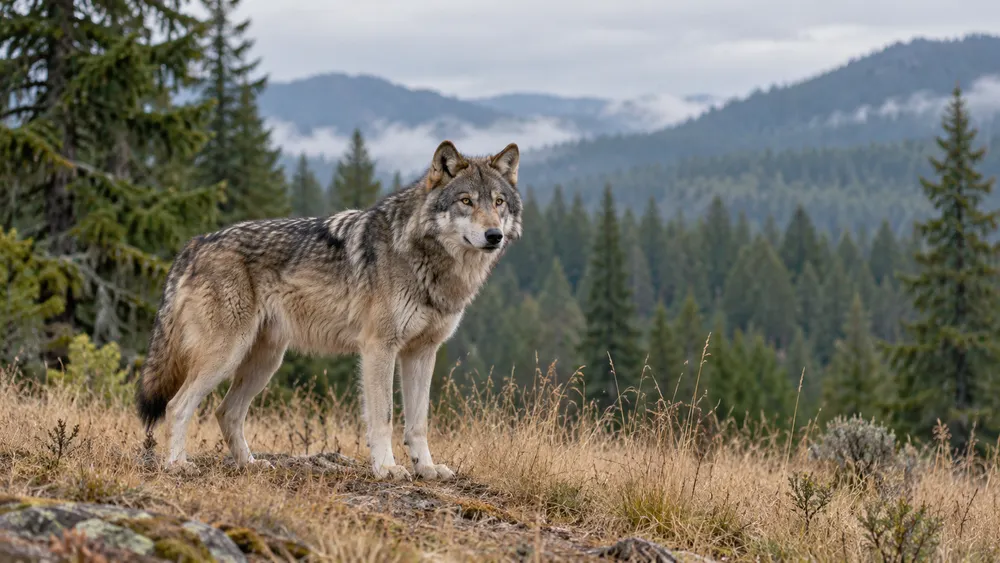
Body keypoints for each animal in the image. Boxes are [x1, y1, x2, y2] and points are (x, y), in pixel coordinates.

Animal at [134, 140, 522, 480]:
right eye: (466, 201)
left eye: (499, 202)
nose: (494, 235)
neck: (424, 258)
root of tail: (195, 244)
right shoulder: (379, 348)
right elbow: (383, 418)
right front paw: (387, 468)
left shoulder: (422, 353)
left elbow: (418, 423)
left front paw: (426, 469)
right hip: (226, 355)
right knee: (177, 406)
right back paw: (177, 465)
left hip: (264, 362)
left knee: (226, 412)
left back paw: (251, 465)